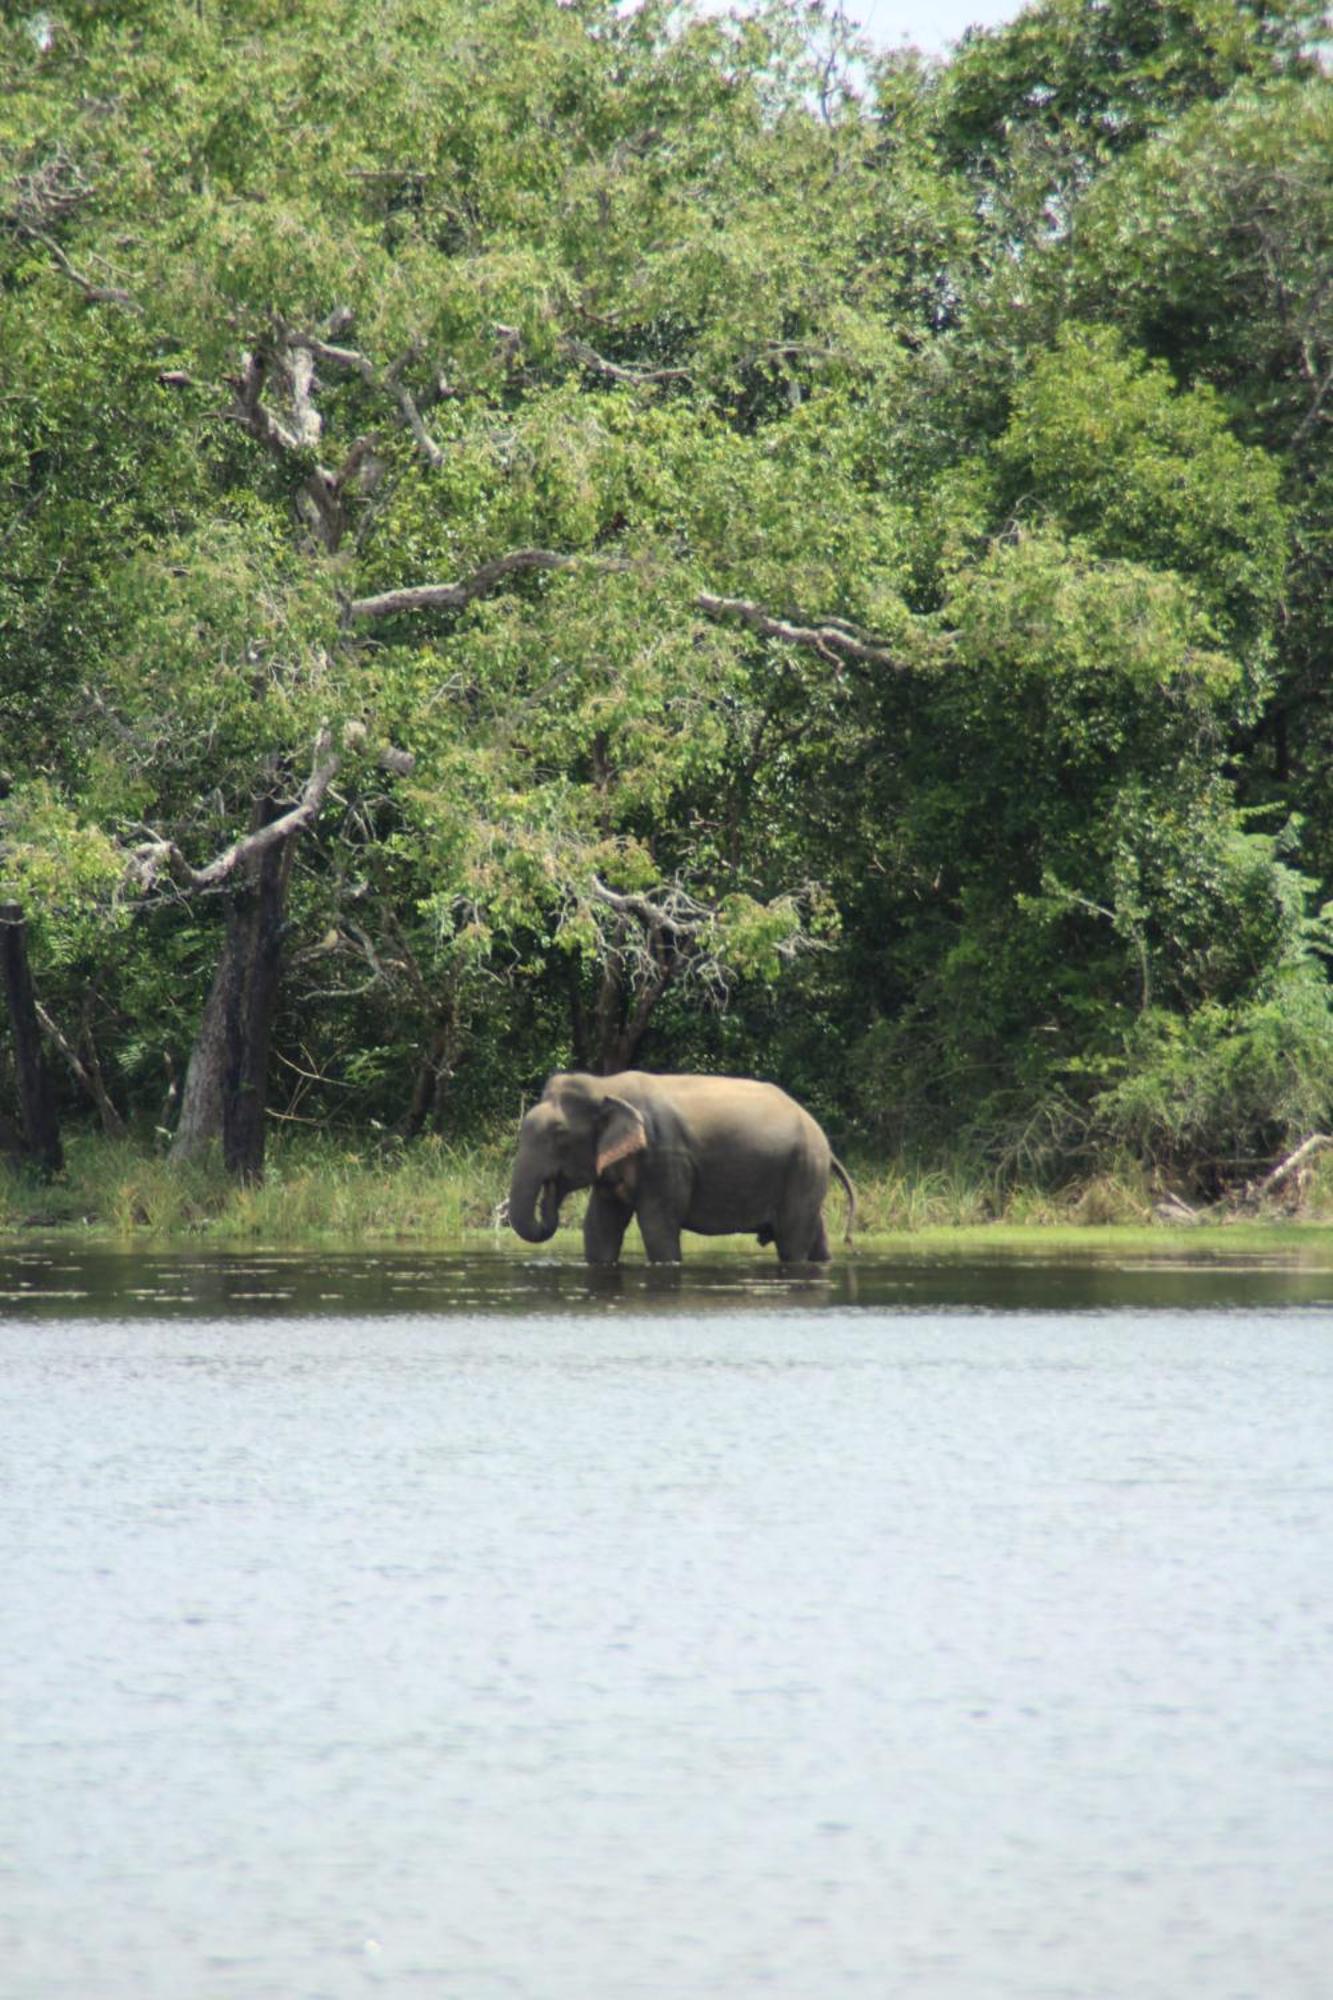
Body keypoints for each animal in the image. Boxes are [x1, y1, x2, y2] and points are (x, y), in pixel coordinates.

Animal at [504, 1064, 856, 1264]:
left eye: (559, 1134)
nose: (551, 1189)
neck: (606, 1086)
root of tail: (823, 1139)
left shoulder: (663, 1155)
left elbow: (657, 1225)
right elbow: (600, 1227)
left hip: (804, 1169)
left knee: (792, 1240)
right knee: (815, 1234)